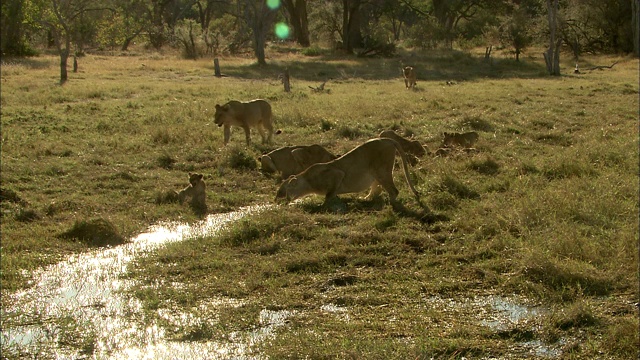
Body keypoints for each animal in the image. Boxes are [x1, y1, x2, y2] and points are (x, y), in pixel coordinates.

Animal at [274, 139, 420, 210]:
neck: (307, 181)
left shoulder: (337, 174)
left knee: (394, 190)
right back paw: (366, 198)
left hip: (382, 170)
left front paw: (322, 206)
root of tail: (388, 140)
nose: (275, 200)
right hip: (375, 172)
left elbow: (328, 195)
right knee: (377, 188)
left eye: (281, 191)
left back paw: (390, 204)